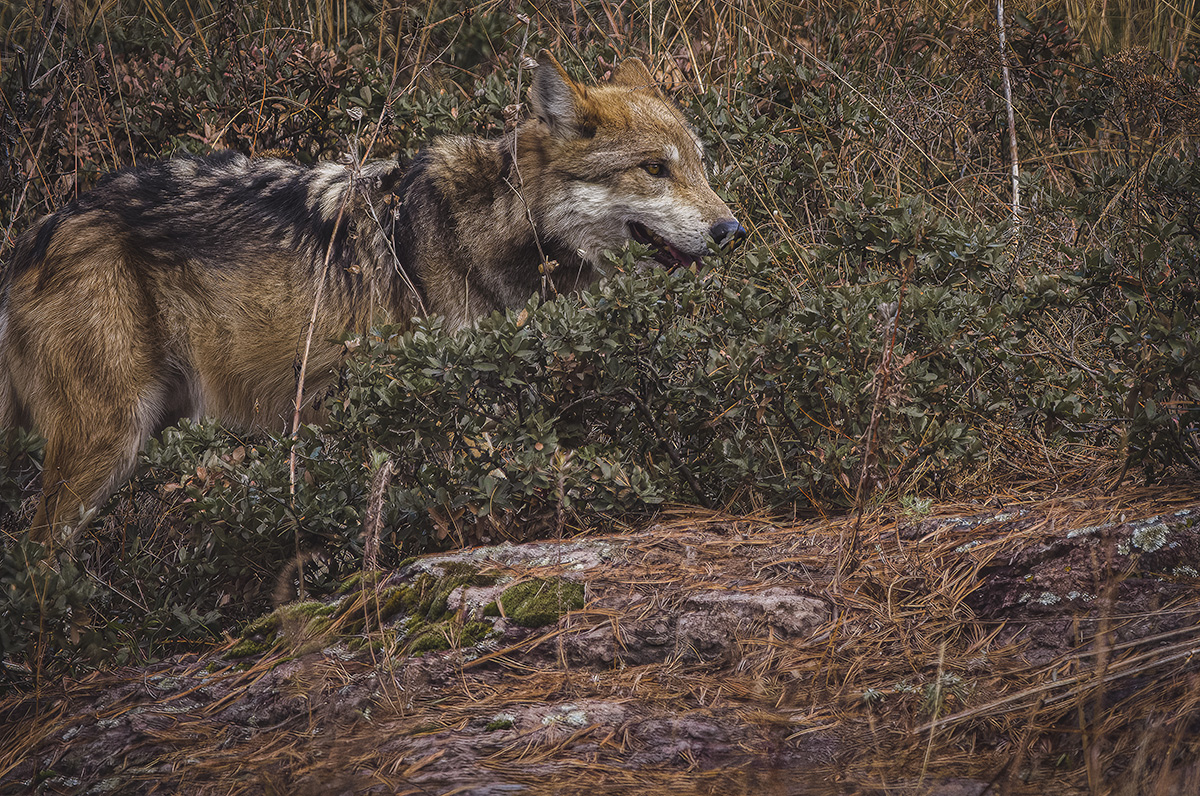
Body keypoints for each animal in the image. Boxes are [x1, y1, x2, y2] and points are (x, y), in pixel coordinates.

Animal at [0, 51, 744, 547]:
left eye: (701, 167)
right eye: (655, 168)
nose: (732, 230)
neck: (480, 233)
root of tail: (35, 235)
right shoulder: (457, 415)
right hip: (107, 444)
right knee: (37, 560)